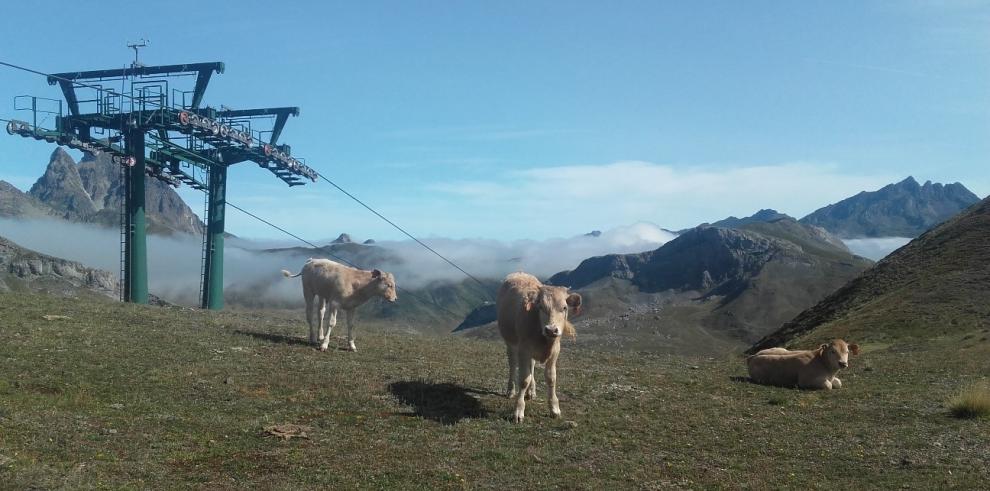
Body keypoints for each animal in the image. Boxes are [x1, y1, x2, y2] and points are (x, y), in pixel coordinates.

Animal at [496, 272, 580, 422]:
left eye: (564, 308)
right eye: (541, 307)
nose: (551, 330)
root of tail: (519, 272)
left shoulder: (555, 351)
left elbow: (551, 378)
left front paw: (554, 408)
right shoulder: (524, 349)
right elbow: (524, 379)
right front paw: (518, 411)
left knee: (532, 367)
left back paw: (531, 391)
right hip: (510, 343)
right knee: (513, 365)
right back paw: (511, 390)